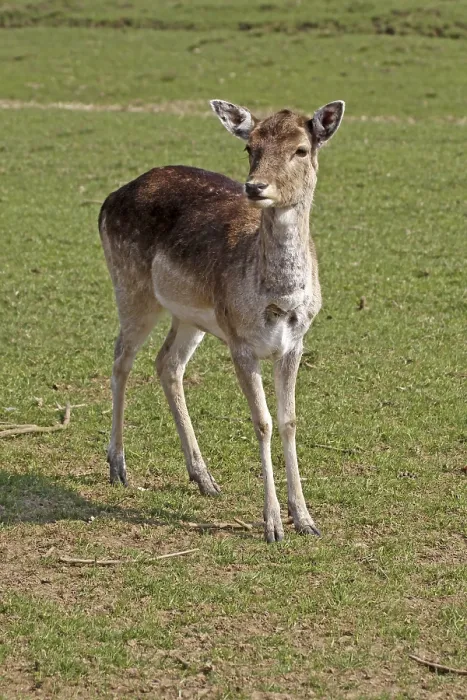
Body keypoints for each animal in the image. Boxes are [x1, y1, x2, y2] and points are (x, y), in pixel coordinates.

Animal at [98, 98, 345, 542]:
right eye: (251, 148)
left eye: (301, 149)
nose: (255, 187)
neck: (279, 299)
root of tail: (110, 198)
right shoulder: (240, 343)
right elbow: (262, 422)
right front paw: (272, 525)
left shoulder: (295, 342)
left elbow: (289, 420)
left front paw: (306, 520)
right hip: (132, 286)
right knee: (121, 359)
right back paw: (118, 467)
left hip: (190, 316)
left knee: (167, 363)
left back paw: (204, 477)